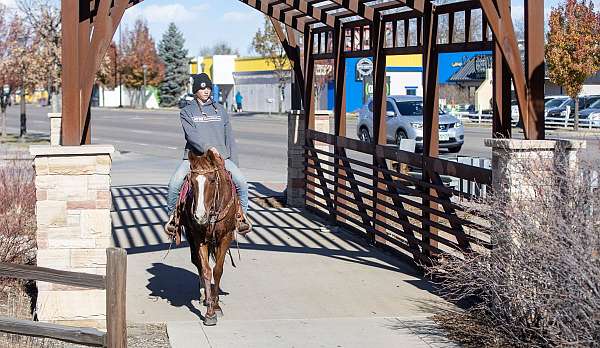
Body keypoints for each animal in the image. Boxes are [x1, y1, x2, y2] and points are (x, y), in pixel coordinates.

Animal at [172, 150, 240, 326]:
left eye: (212, 180)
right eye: (192, 182)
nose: (199, 216)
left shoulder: (225, 237)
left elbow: (218, 271)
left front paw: (216, 306)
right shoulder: (199, 238)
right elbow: (206, 270)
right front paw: (210, 312)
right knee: (197, 263)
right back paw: (204, 294)